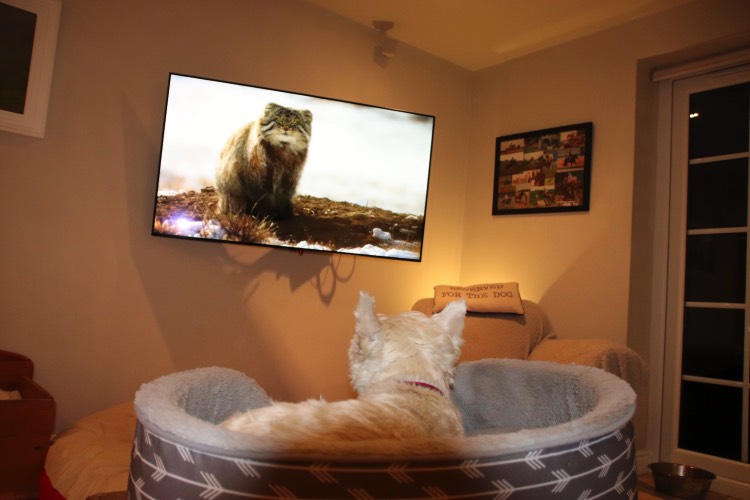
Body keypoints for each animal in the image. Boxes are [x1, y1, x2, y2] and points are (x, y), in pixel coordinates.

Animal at [151, 75, 438, 262]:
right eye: (279, 119)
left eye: (294, 122)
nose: (287, 128)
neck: (283, 154)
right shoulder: (261, 177)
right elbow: (262, 199)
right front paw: (266, 216)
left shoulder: (290, 177)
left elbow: (282, 198)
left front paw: (282, 214)